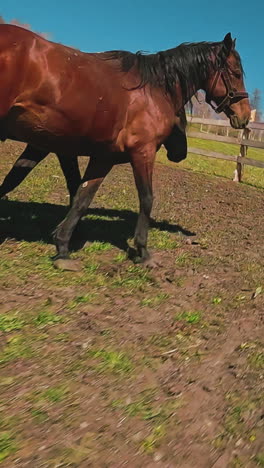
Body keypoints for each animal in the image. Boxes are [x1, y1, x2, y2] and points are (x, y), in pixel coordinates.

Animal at [0, 24, 251, 266]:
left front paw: (62, 248)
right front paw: (143, 251)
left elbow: (82, 197)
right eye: (236, 73)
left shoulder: (103, 157)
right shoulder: (143, 152)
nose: (245, 116)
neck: (152, 90)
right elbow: (147, 198)